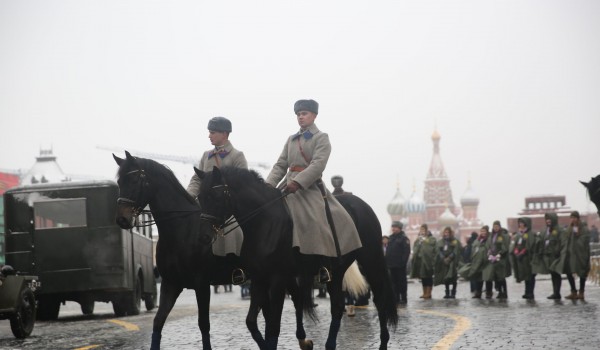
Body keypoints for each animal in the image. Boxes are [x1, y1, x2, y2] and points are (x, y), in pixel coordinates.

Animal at [112, 152, 216, 350]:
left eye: (134, 180)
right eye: (120, 182)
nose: (122, 219)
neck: (183, 229)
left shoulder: (202, 284)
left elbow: (204, 324)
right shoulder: (171, 284)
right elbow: (158, 321)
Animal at [195, 166, 398, 350]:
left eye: (214, 196)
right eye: (199, 198)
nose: (204, 236)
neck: (264, 223)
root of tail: (362, 205)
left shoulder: (278, 279)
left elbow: (273, 327)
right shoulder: (259, 279)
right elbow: (251, 321)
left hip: (371, 259)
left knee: (379, 300)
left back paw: (383, 343)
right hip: (336, 270)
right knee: (338, 305)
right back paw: (330, 345)